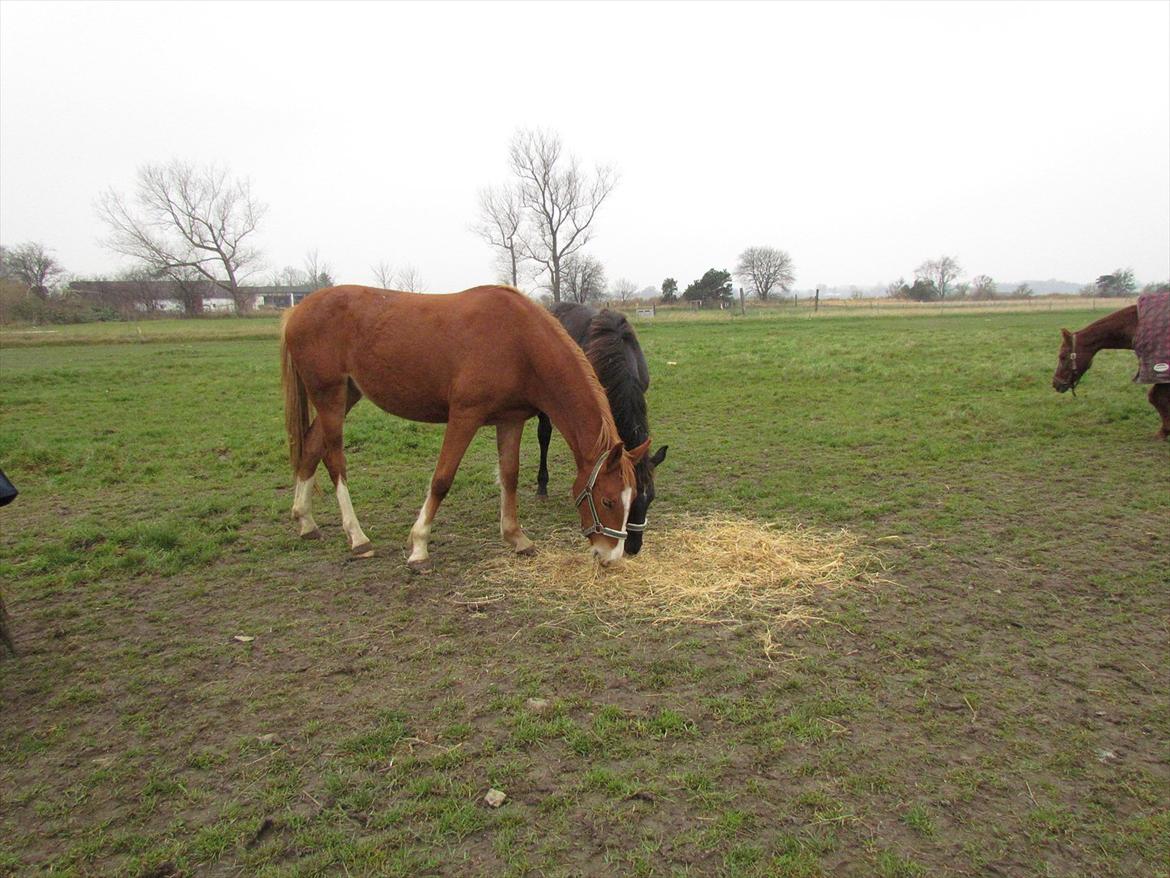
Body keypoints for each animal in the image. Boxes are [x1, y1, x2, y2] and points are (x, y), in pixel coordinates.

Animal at [281, 285, 650, 566]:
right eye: (608, 502)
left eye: (637, 498)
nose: (611, 556)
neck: (519, 341)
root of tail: (297, 311)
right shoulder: (464, 416)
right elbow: (442, 479)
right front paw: (419, 546)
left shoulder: (510, 419)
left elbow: (509, 475)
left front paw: (517, 538)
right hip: (329, 395)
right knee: (334, 460)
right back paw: (357, 537)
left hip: (347, 394)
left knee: (311, 445)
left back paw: (305, 520)